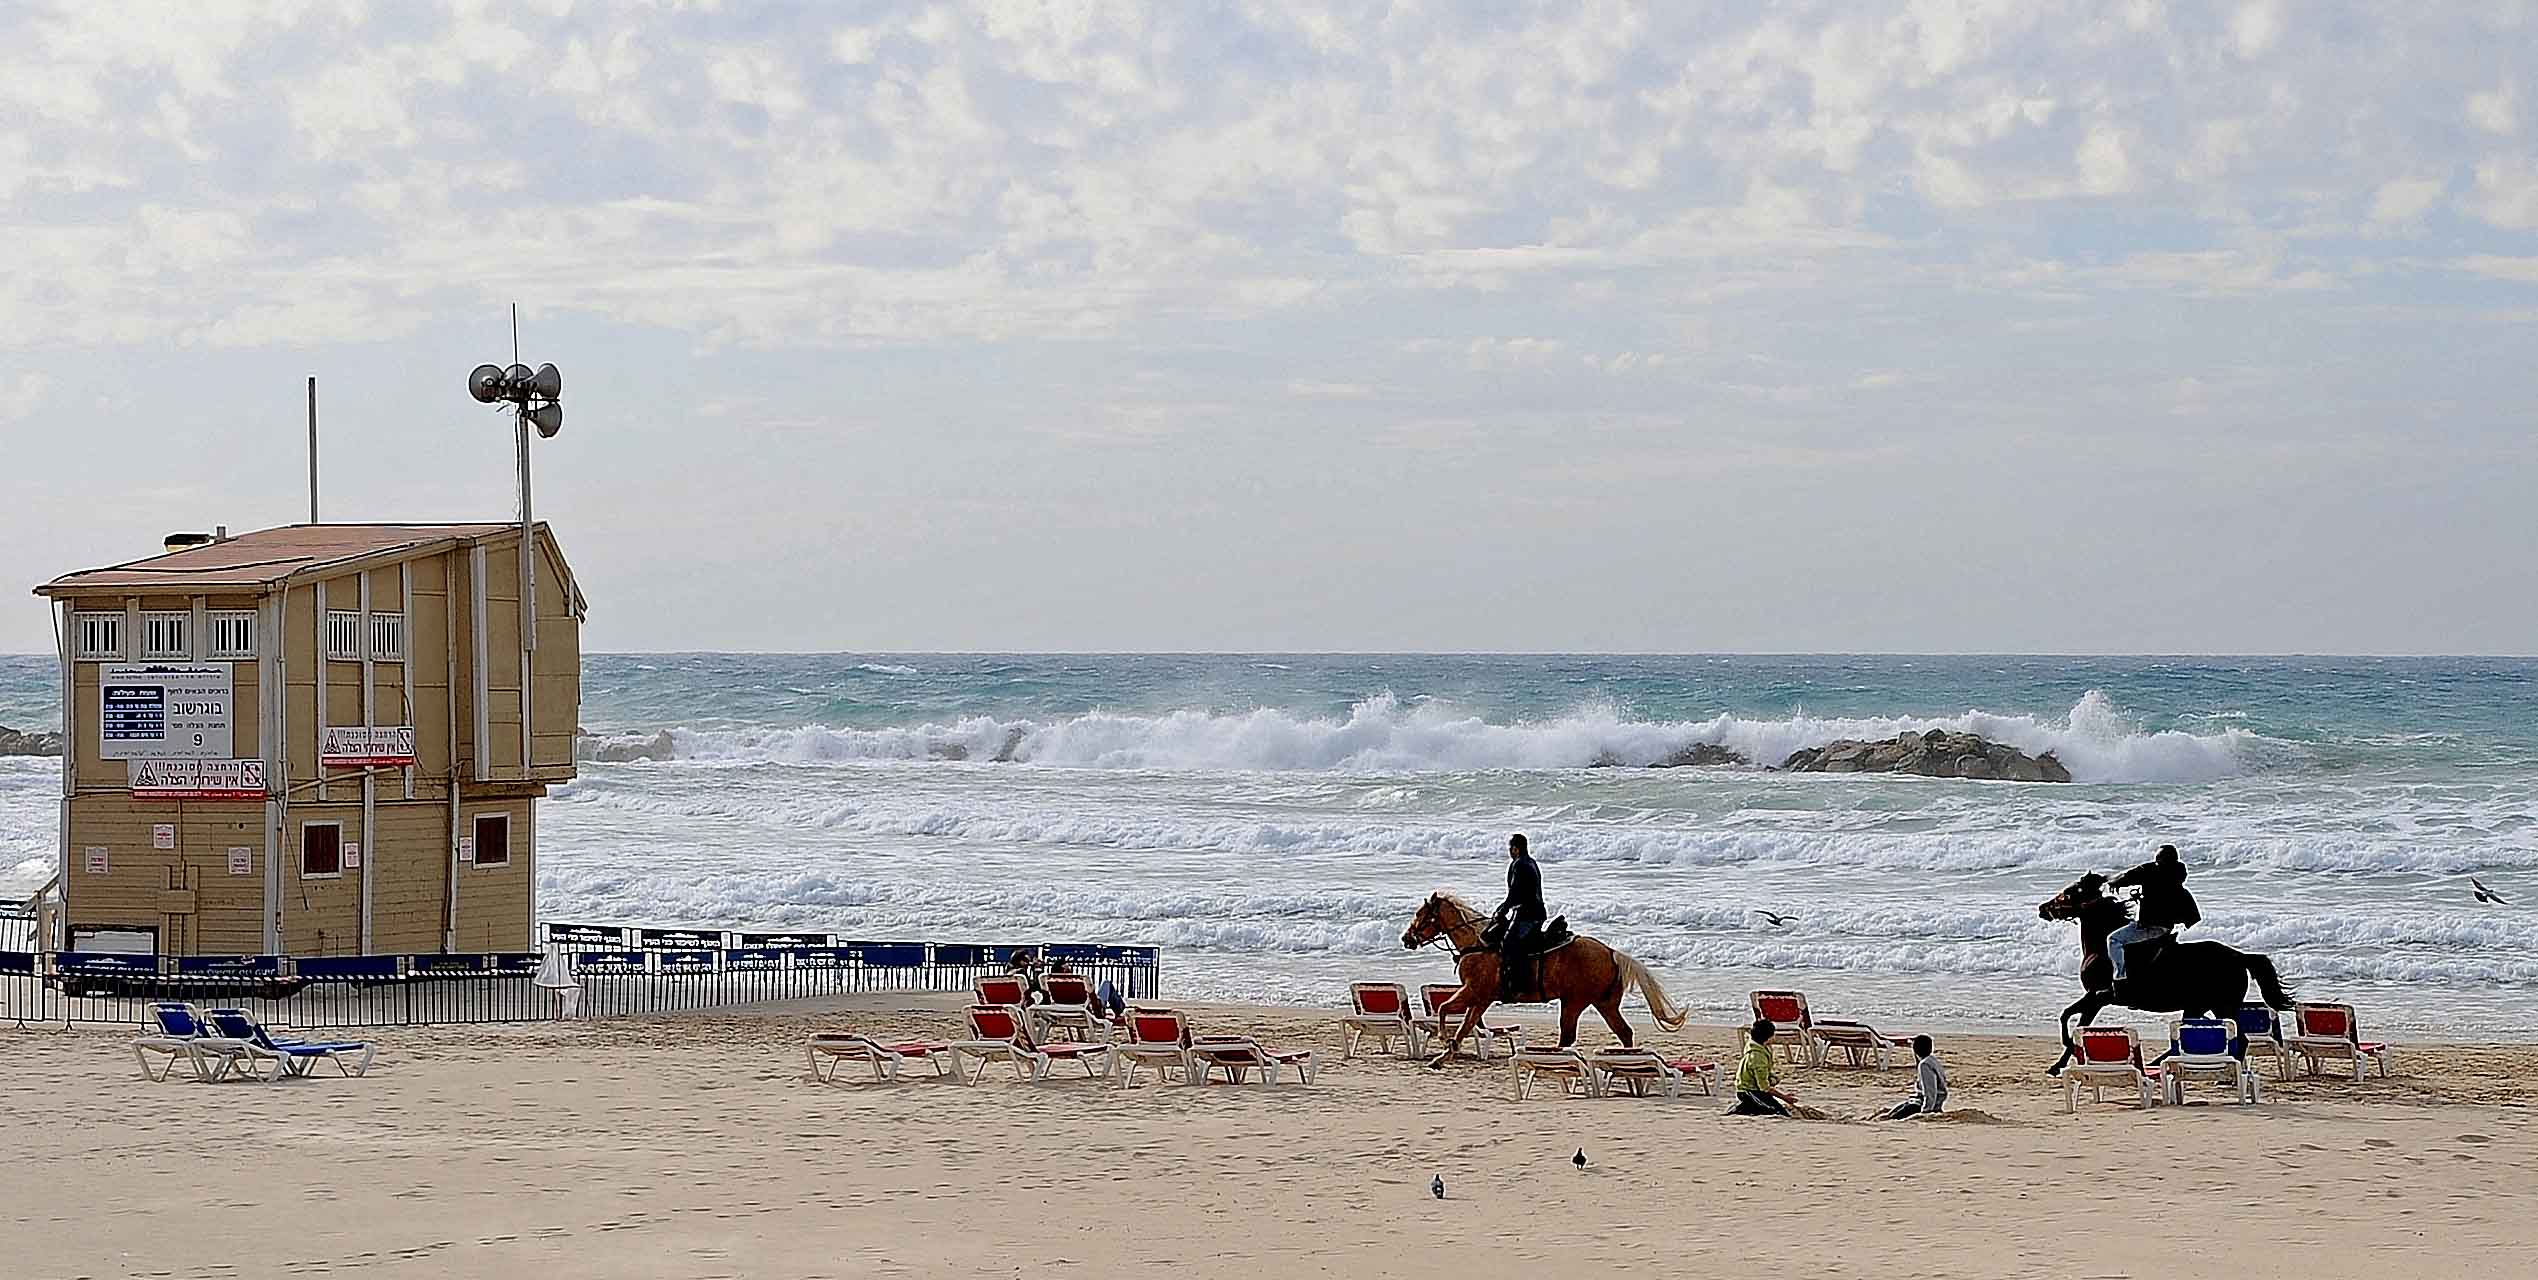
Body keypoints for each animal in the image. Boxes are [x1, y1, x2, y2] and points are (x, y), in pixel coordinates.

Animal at [1411, 888, 1685, 1061]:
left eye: (1420, 915)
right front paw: (1444, 1055)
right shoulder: (1480, 998)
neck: (1478, 943)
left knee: (1569, 1036)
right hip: (1603, 1004)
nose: (1406, 938)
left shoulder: (1474, 992)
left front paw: (1443, 1039)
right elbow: (1464, 1025)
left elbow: (1445, 1008)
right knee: (1623, 1032)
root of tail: (1611, 952)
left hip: (1574, 1003)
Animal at [2030, 873, 2294, 1076]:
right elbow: (2072, 1018)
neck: (2101, 947)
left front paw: (2061, 1057)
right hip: (2200, 1005)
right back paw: (2160, 1062)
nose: (2042, 908)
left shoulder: (2100, 997)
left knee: (2242, 1040)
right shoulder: (2094, 998)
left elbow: (2071, 1018)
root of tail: (2239, 956)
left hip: (2222, 1006)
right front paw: (2058, 1064)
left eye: (2068, 893)